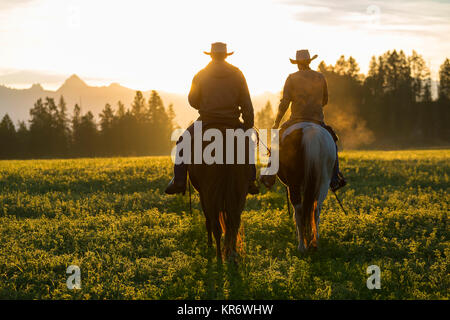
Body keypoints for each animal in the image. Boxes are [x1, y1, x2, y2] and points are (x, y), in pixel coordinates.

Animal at [187, 124, 253, 262]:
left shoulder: (203, 195)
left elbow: (208, 221)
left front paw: (209, 245)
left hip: (211, 194)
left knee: (216, 226)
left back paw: (218, 256)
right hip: (240, 193)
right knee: (234, 223)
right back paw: (232, 253)